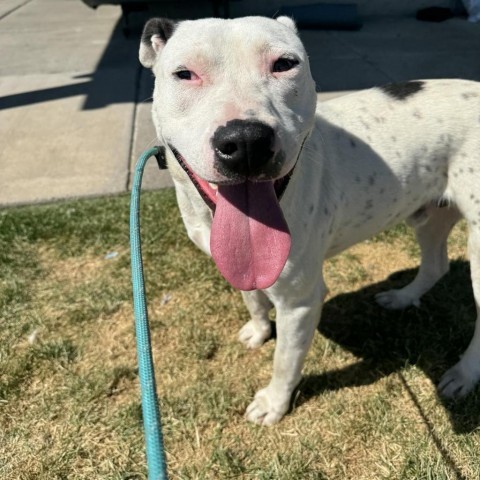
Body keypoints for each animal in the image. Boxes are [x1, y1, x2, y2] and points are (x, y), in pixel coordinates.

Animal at [139, 16, 480, 426]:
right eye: (184, 73)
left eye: (285, 64)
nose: (246, 141)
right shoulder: (237, 263)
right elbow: (252, 299)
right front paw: (258, 331)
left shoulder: (299, 301)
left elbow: (285, 361)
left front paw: (274, 403)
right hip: (429, 216)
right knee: (435, 264)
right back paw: (403, 297)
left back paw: (464, 374)